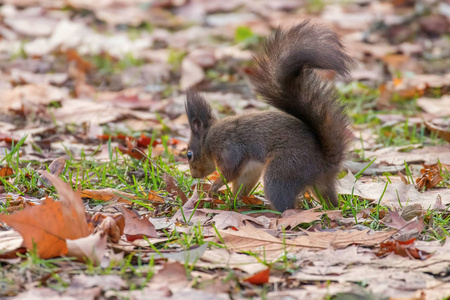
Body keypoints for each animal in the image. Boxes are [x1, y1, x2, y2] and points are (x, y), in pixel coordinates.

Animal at [183, 20, 352, 211]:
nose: (193, 175)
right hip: (317, 185)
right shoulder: (249, 169)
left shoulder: (228, 148)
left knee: (287, 206)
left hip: (281, 171)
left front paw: (213, 189)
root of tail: (324, 164)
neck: (209, 138)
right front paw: (231, 201)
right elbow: (240, 184)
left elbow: (229, 172)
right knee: (330, 201)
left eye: (189, 154)